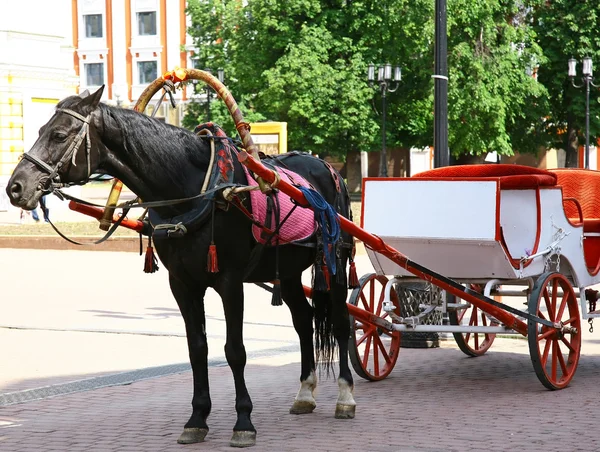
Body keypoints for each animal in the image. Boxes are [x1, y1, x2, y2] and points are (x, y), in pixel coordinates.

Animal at [7, 86, 354, 446]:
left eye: (59, 135)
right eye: (39, 130)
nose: (15, 187)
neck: (193, 190)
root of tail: (326, 167)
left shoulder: (230, 282)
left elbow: (235, 350)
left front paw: (243, 420)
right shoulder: (183, 284)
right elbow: (197, 349)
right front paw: (197, 417)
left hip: (337, 261)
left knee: (341, 322)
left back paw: (345, 395)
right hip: (287, 271)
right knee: (304, 321)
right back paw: (305, 391)